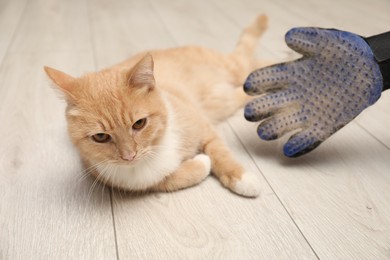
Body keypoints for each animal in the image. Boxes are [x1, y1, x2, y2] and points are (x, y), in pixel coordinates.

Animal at [43, 14, 268, 197]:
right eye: (100, 137)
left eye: (139, 124)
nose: (129, 156)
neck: (157, 148)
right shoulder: (129, 181)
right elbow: (171, 180)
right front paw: (201, 163)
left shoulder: (202, 126)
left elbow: (220, 152)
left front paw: (242, 178)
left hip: (232, 69)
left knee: (254, 63)